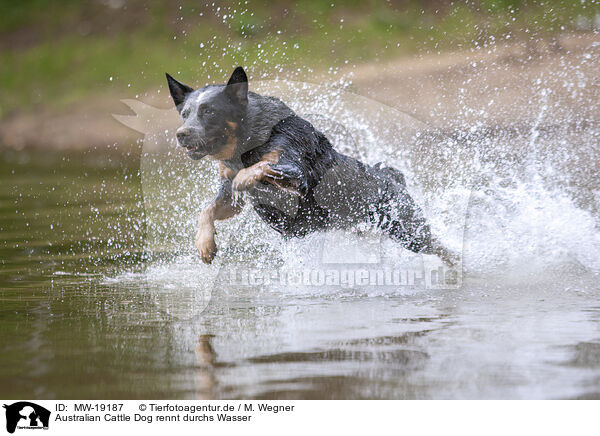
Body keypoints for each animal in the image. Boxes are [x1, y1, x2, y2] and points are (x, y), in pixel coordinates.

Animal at [166, 66, 458, 266]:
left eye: (209, 112)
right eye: (185, 114)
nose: (181, 134)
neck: (246, 144)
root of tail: (393, 177)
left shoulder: (295, 173)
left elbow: (261, 167)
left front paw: (245, 177)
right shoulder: (229, 196)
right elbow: (208, 210)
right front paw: (204, 244)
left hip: (407, 229)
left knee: (440, 248)